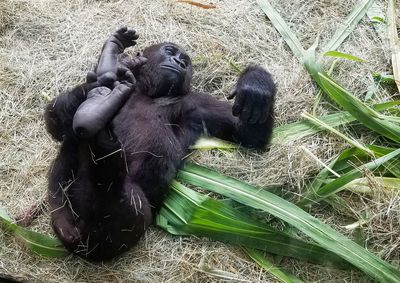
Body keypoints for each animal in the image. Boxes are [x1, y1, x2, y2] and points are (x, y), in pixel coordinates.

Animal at [43, 27, 276, 262]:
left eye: (185, 62)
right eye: (170, 51)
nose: (179, 62)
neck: (146, 91)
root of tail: (78, 241)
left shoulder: (196, 104)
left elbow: (248, 134)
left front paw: (256, 84)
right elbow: (57, 122)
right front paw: (114, 65)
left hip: (122, 231)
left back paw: (95, 117)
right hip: (67, 222)